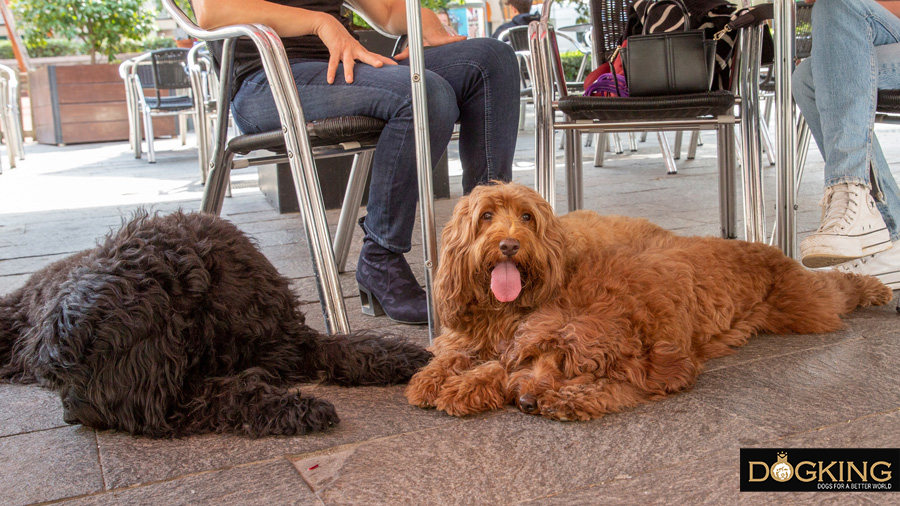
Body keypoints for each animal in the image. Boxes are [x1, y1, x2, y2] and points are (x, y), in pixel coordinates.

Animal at [0, 211, 432, 436]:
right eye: (60, 372)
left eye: (84, 359)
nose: (70, 414)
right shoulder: (166, 400)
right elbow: (228, 392)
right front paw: (291, 406)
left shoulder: (284, 339)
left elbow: (347, 347)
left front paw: (403, 356)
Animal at [406, 184, 892, 422]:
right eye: (486, 216)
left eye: (527, 217)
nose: (509, 244)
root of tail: (763, 247)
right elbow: (458, 355)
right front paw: (436, 379)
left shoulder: (666, 365)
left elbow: (620, 385)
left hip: (807, 308)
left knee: (837, 289)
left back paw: (875, 287)